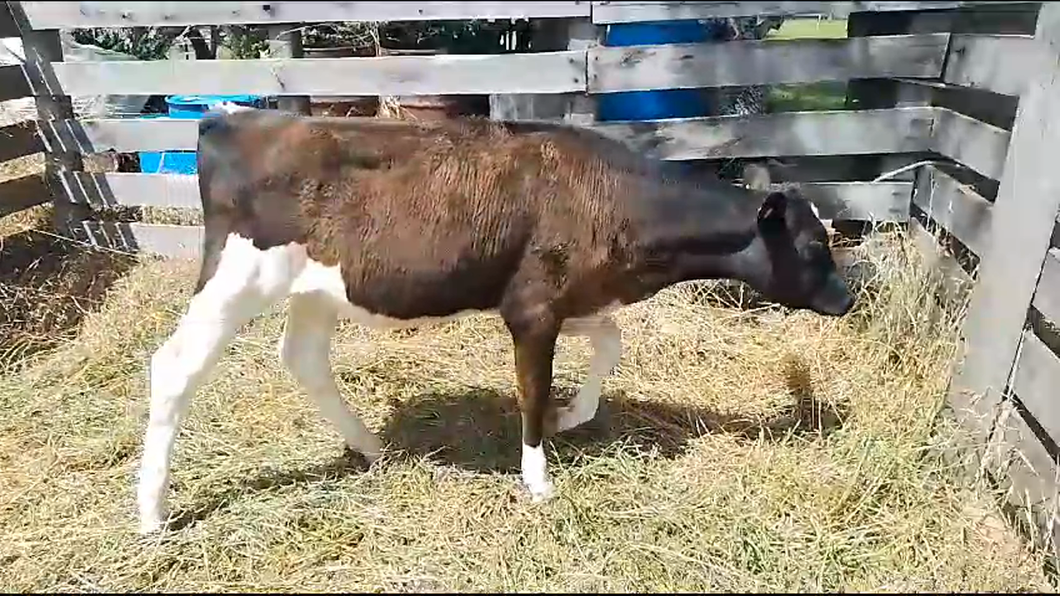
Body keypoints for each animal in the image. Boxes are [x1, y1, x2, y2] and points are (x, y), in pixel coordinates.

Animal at [138, 107, 852, 534]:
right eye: (814, 247)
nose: (847, 301)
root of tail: (232, 117)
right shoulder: (533, 310)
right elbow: (532, 393)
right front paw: (538, 479)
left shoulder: (569, 295)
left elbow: (612, 344)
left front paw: (574, 416)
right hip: (236, 278)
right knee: (173, 368)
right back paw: (152, 514)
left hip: (318, 288)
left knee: (303, 358)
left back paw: (370, 446)